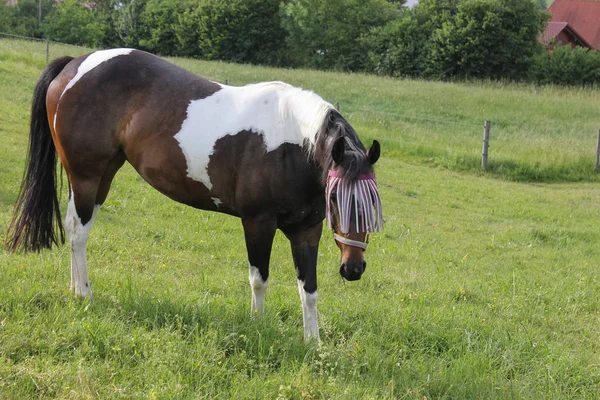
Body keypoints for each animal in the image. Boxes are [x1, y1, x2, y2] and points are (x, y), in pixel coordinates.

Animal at [4, 47, 382, 340]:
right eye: (336, 200)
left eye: (372, 206)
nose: (354, 269)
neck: (292, 145)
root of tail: (74, 64)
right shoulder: (257, 223)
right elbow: (259, 279)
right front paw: (258, 329)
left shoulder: (307, 230)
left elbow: (309, 289)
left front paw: (312, 343)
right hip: (87, 175)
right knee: (79, 233)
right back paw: (85, 295)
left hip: (101, 177)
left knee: (73, 228)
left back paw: (75, 290)